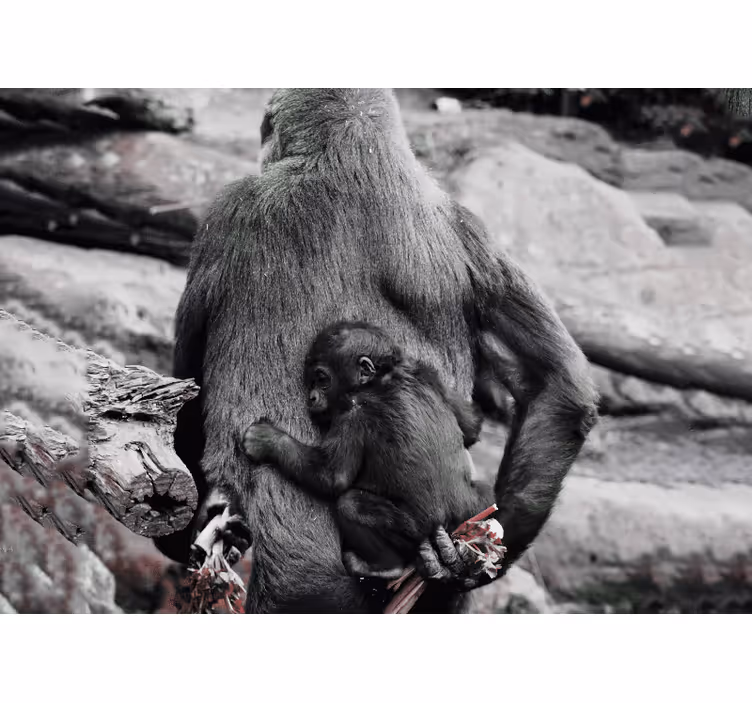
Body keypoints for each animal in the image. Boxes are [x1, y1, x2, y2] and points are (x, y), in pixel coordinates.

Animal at [241, 321, 494, 582]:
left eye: (321, 379)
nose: (311, 397)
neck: (381, 377)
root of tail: (452, 526)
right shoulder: (426, 370)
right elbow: (471, 425)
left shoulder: (352, 413)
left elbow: (332, 476)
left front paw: (267, 440)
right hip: (474, 511)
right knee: (486, 494)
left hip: (416, 530)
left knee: (351, 504)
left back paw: (384, 566)